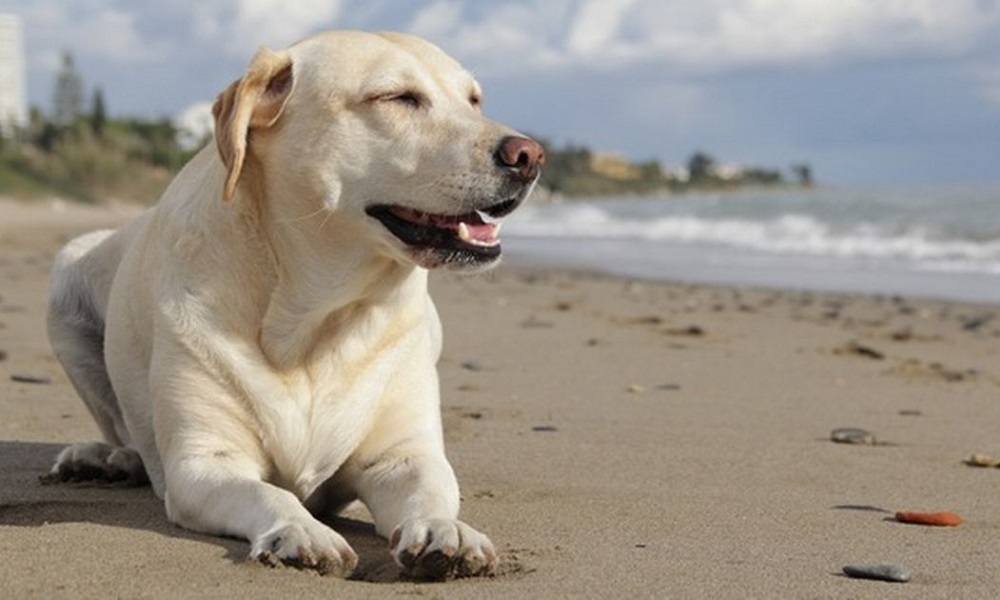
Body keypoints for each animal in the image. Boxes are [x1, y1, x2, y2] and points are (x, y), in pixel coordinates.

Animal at [46, 29, 544, 580]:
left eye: (474, 100)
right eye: (397, 97)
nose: (530, 155)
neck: (315, 319)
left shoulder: (403, 455)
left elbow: (431, 490)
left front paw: (446, 530)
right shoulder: (203, 463)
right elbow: (268, 494)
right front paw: (301, 530)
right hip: (66, 274)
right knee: (124, 431)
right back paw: (105, 459)